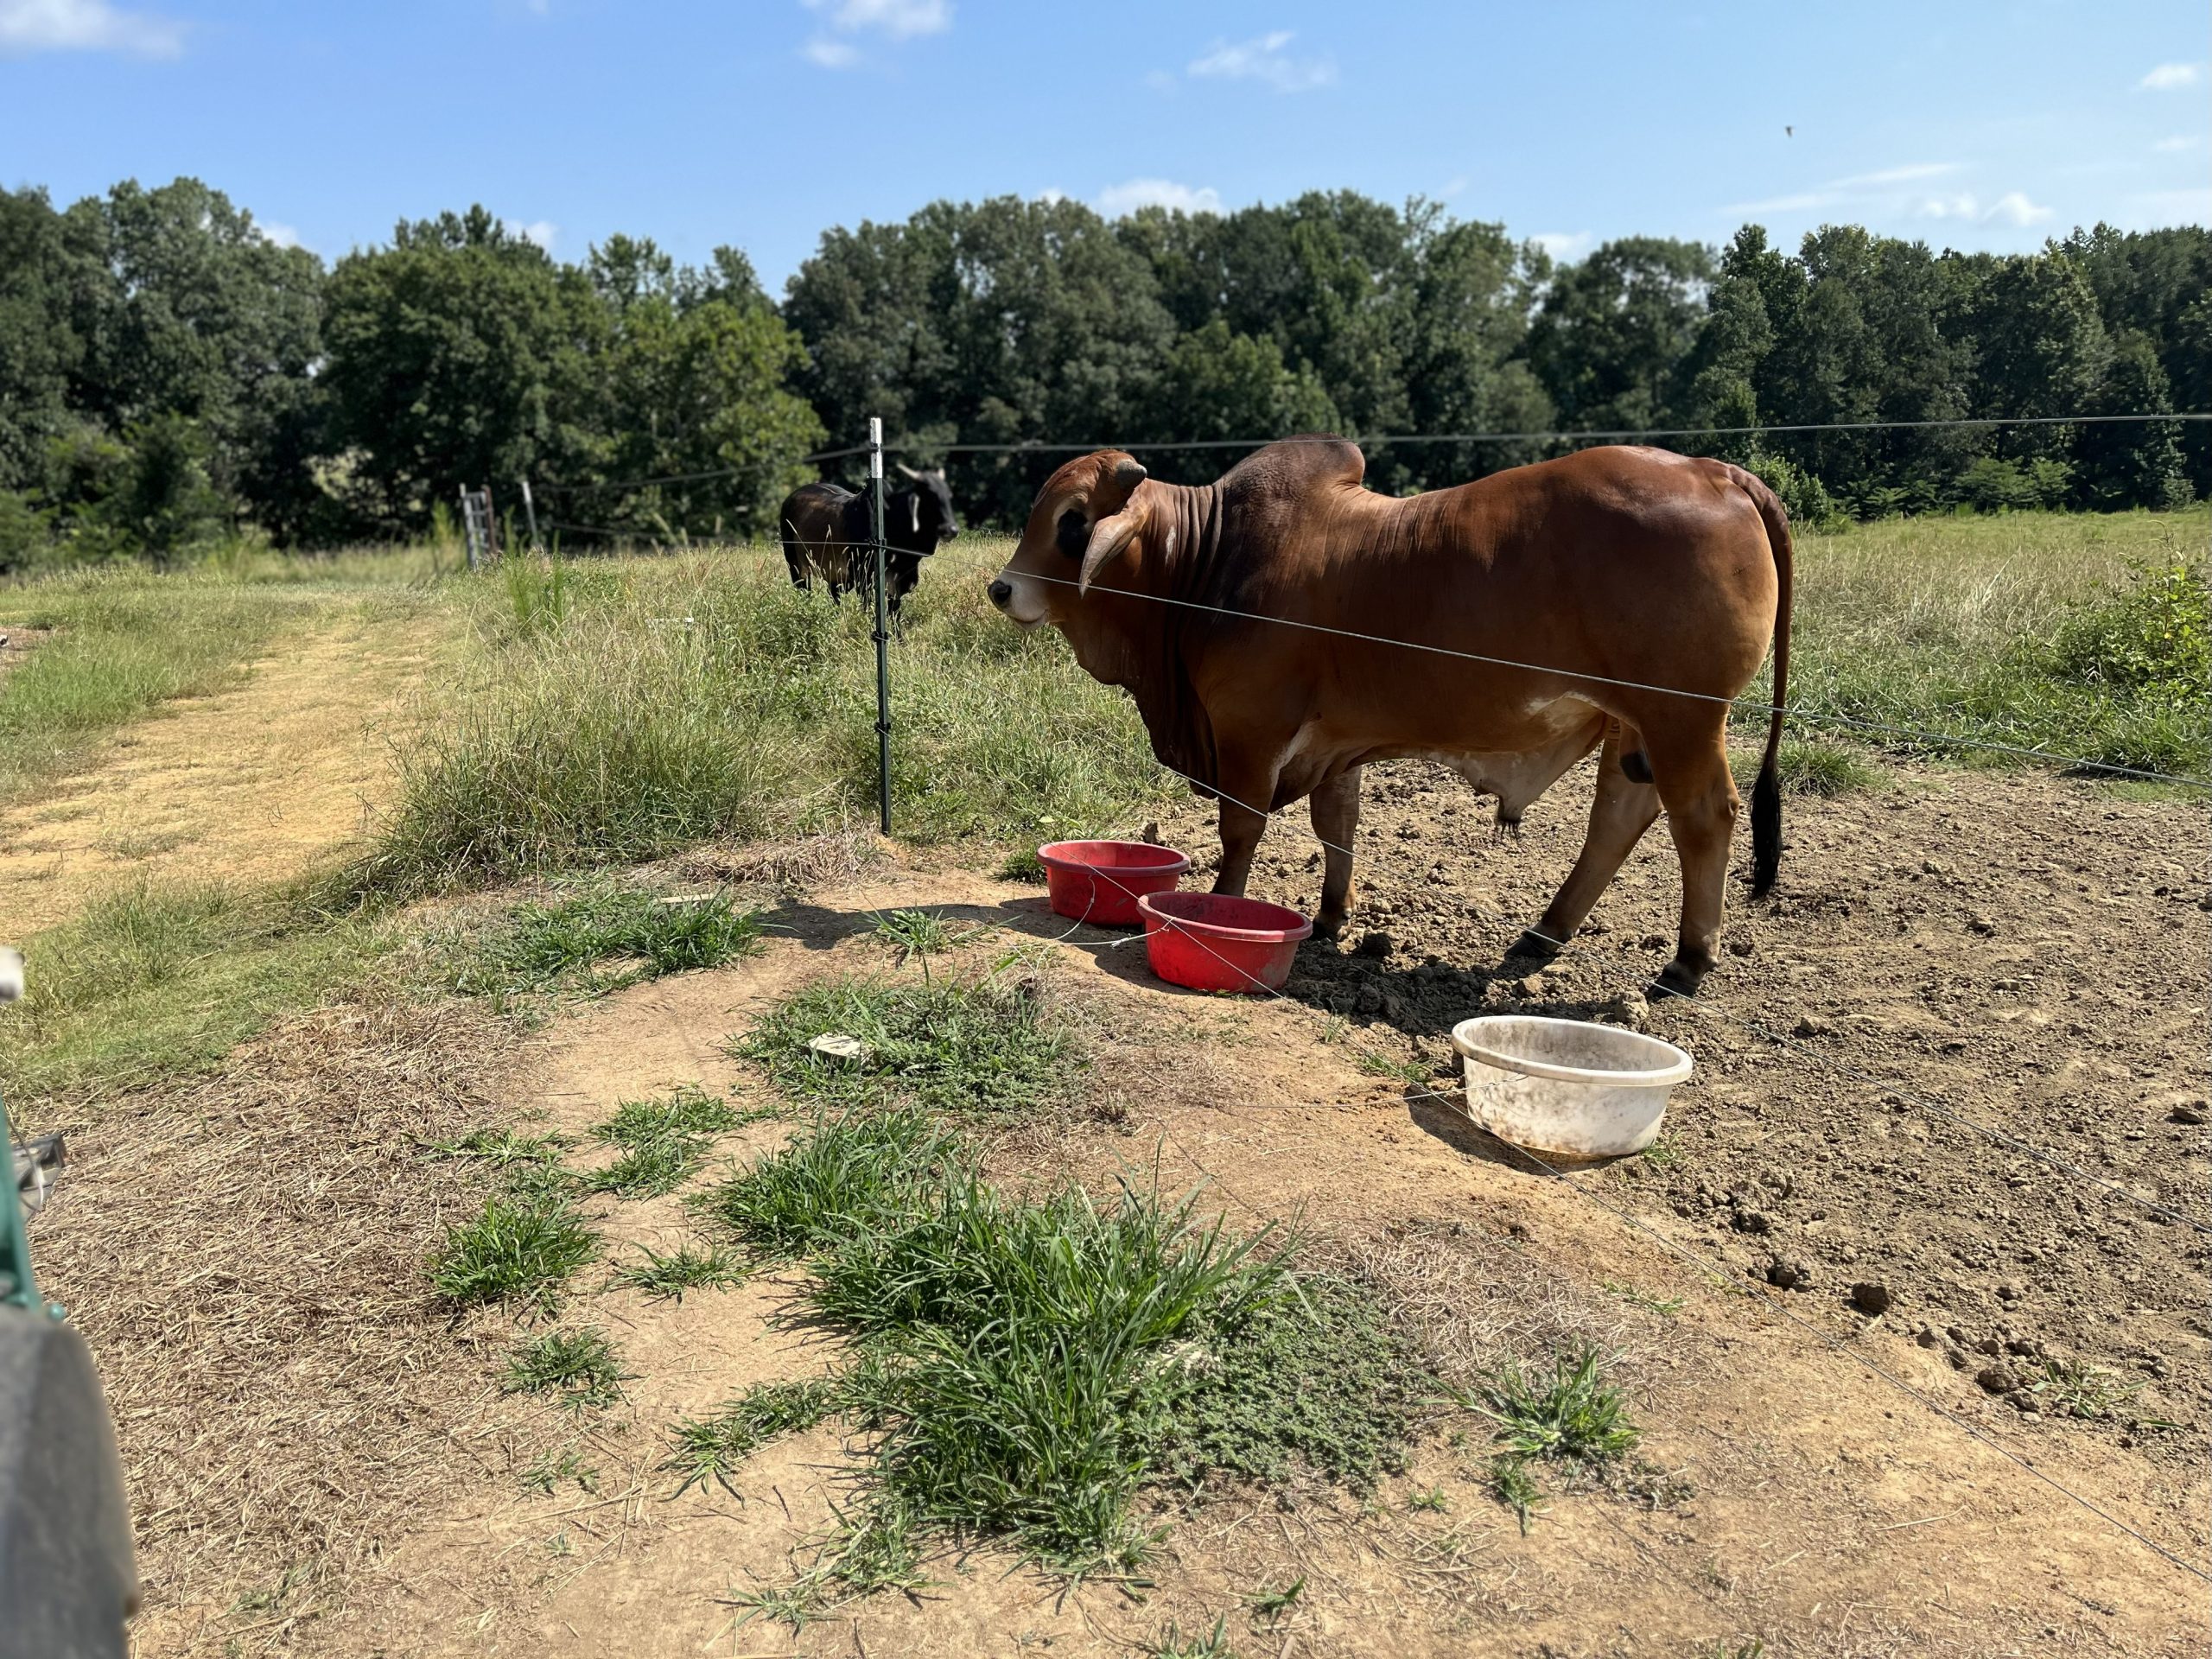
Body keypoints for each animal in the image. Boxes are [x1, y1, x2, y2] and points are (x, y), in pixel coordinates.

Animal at [779, 465, 960, 620]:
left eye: (949, 495)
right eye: (929, 496)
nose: (951, 529)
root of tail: (790, 498)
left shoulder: (897, 584)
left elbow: (895, 616)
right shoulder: (864, 580)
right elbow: (868, 609)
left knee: (834, 598)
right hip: (796, 566)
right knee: (804, 592)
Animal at [986, 439, 1794, 997]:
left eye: (1072, 523)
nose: (1001, 589)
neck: (1206, 562)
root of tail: (1715, 471)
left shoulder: (1250, 734)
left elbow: (1241, 831)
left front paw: (1220, 908)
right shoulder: (1334, 746)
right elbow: (1337, 828)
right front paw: (1331, 919)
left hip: (1682, 717)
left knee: (1703, 816)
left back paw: (1687, 962)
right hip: (1632, 723)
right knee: (1621, 814)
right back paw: (1546, 933)